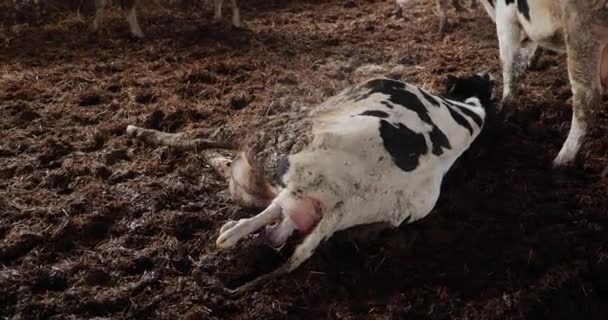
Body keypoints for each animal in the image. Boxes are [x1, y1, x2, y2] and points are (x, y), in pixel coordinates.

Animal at [88, 0, 240, 38]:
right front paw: (237, 23)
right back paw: (138, 33)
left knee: (100, 4)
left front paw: (217, 17)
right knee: (127, 6)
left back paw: (96, 27)